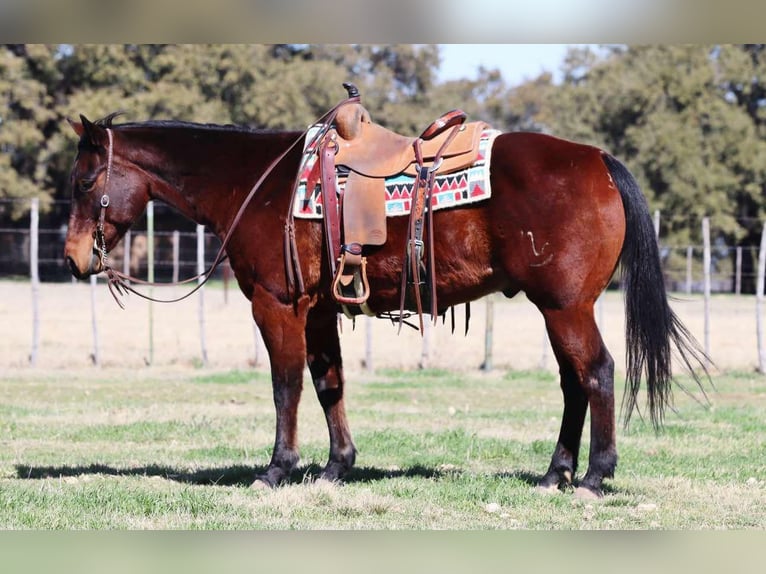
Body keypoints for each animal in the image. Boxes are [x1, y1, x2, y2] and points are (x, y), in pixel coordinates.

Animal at [64, 98, 708, 500]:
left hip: (565, 308)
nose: (73, 258)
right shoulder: (320, 310)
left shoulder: (277, 305)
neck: (256, 183)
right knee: (575, 383)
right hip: (556, 310)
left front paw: (277, 469)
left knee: (596, 373)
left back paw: (595, 477)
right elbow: (329, 383)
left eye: (83, 181)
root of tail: (596, 159)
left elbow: (286, 385)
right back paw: (556, 474)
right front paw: (336, 466)